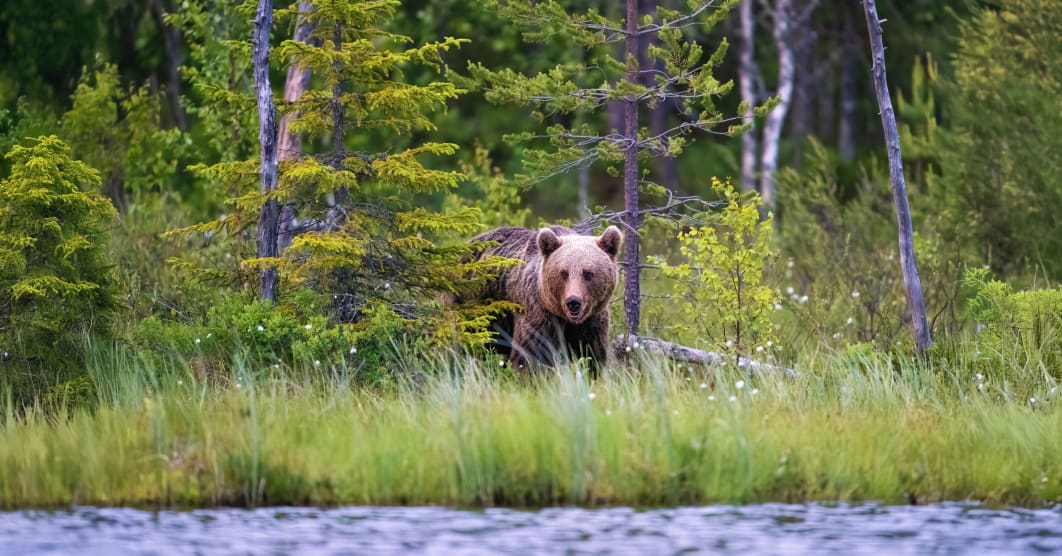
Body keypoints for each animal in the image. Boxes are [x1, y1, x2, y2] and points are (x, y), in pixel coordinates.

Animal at [456, 225, 623, 373]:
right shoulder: (538, 313)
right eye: (564, 272)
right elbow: (532, 355)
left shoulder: (592, 321)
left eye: (588, 273)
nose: (573, 302)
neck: (566, 319)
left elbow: (591, 355)